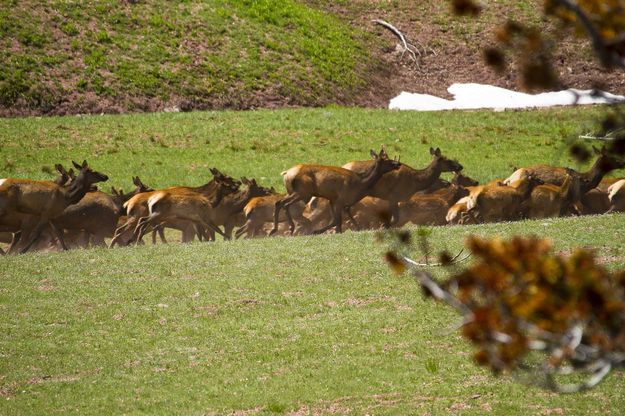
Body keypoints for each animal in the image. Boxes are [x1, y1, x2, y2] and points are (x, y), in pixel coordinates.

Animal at [270, 148, 400, 236]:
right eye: (386, 160)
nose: (398, 164)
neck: (360, 184)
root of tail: (286, 174)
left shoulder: (333, 200)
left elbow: (336, 220)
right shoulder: (340, 199)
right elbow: (338, 220)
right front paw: (318, 231)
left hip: (292, 191)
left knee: (278, 202)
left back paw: (274, 230)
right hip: (303, 192)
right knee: (284, 204)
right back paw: (289, 228)